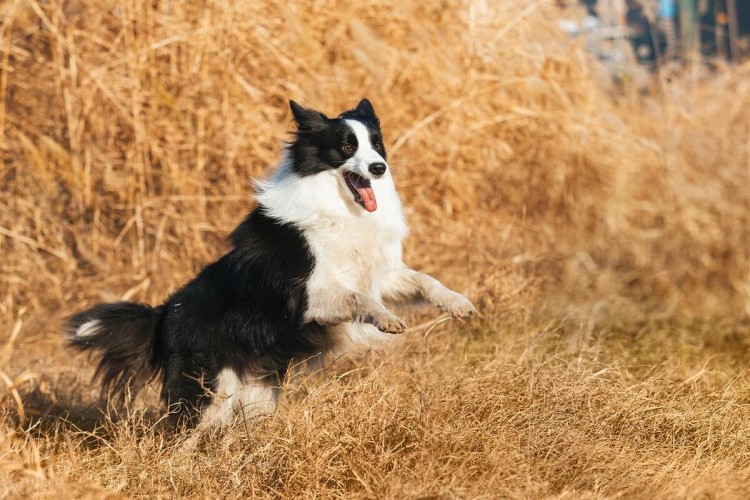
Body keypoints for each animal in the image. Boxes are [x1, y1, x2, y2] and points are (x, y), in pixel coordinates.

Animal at [66, 98, 476, 430]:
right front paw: (387, 320)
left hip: (256, 389)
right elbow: (358, 298)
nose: (379, 168)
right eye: (346, 147)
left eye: (377, 145)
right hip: (210, 388)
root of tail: (164, 313)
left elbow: (424, 280)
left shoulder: (382, 273)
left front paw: (459, 305)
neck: (340, 206)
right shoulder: (311, 297)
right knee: (181, 436)